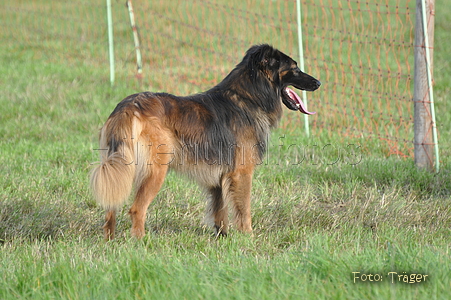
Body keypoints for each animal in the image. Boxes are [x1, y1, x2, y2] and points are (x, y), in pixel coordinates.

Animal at [90, 44, 320, 240]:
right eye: (295, 68)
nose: (318, 83)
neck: (248, 97)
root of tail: (128, 107)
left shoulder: (218, 178)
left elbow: (220, 210)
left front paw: (223, 237)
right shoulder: (242, 173)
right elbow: (243, 209)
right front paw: (248, 237)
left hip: (119, 167)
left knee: (112, 204)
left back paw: (110, 240)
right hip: (155, 171)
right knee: (137, 209)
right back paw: (140, 242)